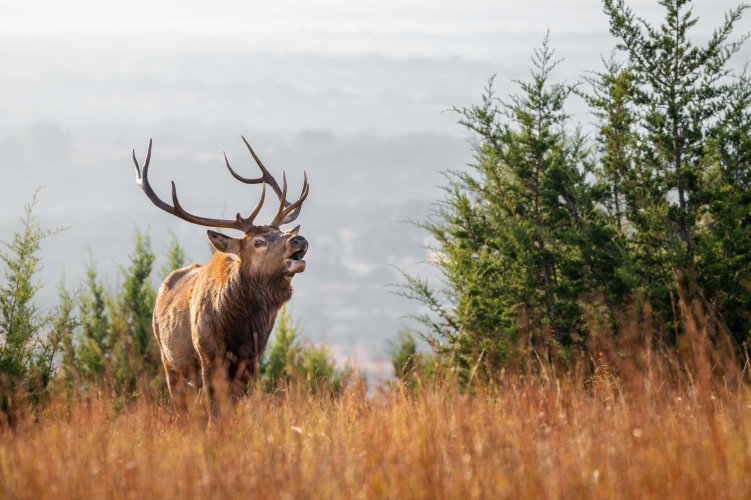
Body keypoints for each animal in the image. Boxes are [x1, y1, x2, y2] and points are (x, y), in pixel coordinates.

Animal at [131, 137, 308, 414]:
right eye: (258, 242)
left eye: (282, 233)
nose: (298, 240)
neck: (240, 328)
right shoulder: (208, 356)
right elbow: (215, 411)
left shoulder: (252, 361)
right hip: (167, 358)